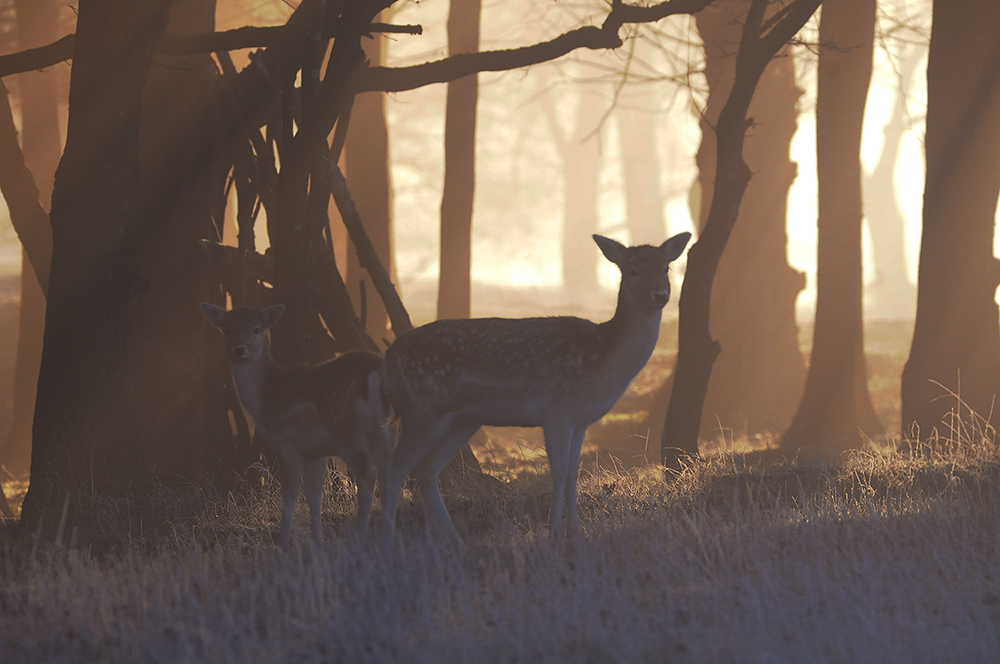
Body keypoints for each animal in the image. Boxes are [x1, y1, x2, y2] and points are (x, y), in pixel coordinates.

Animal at [201, 304, 394, 547]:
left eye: (256, 329)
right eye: (227, 329)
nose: (239, 348)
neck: (264, 398)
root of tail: (374, 373)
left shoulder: (286, 443)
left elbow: (290, 490)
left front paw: (282, 541)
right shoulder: (316, 451)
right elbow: (313, 493)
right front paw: (319, 540)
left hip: (348, 434)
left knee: (368, 474)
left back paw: (358, 537)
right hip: (384, 432)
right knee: (388, 473)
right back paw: (386, 535)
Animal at [379, 232, 692, 542]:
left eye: (665, 268)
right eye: (633, 270)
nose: (661, 295)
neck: (603, 361)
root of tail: (389, 356)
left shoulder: (581, 420)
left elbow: (574, 473)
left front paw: (575, 531)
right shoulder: (557, 413)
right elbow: (559, 472)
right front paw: (554, 532)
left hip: (462, 420)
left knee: (425, 470)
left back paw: (453, 537)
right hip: (422, 410)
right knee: (393, 468)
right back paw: (386, 538)